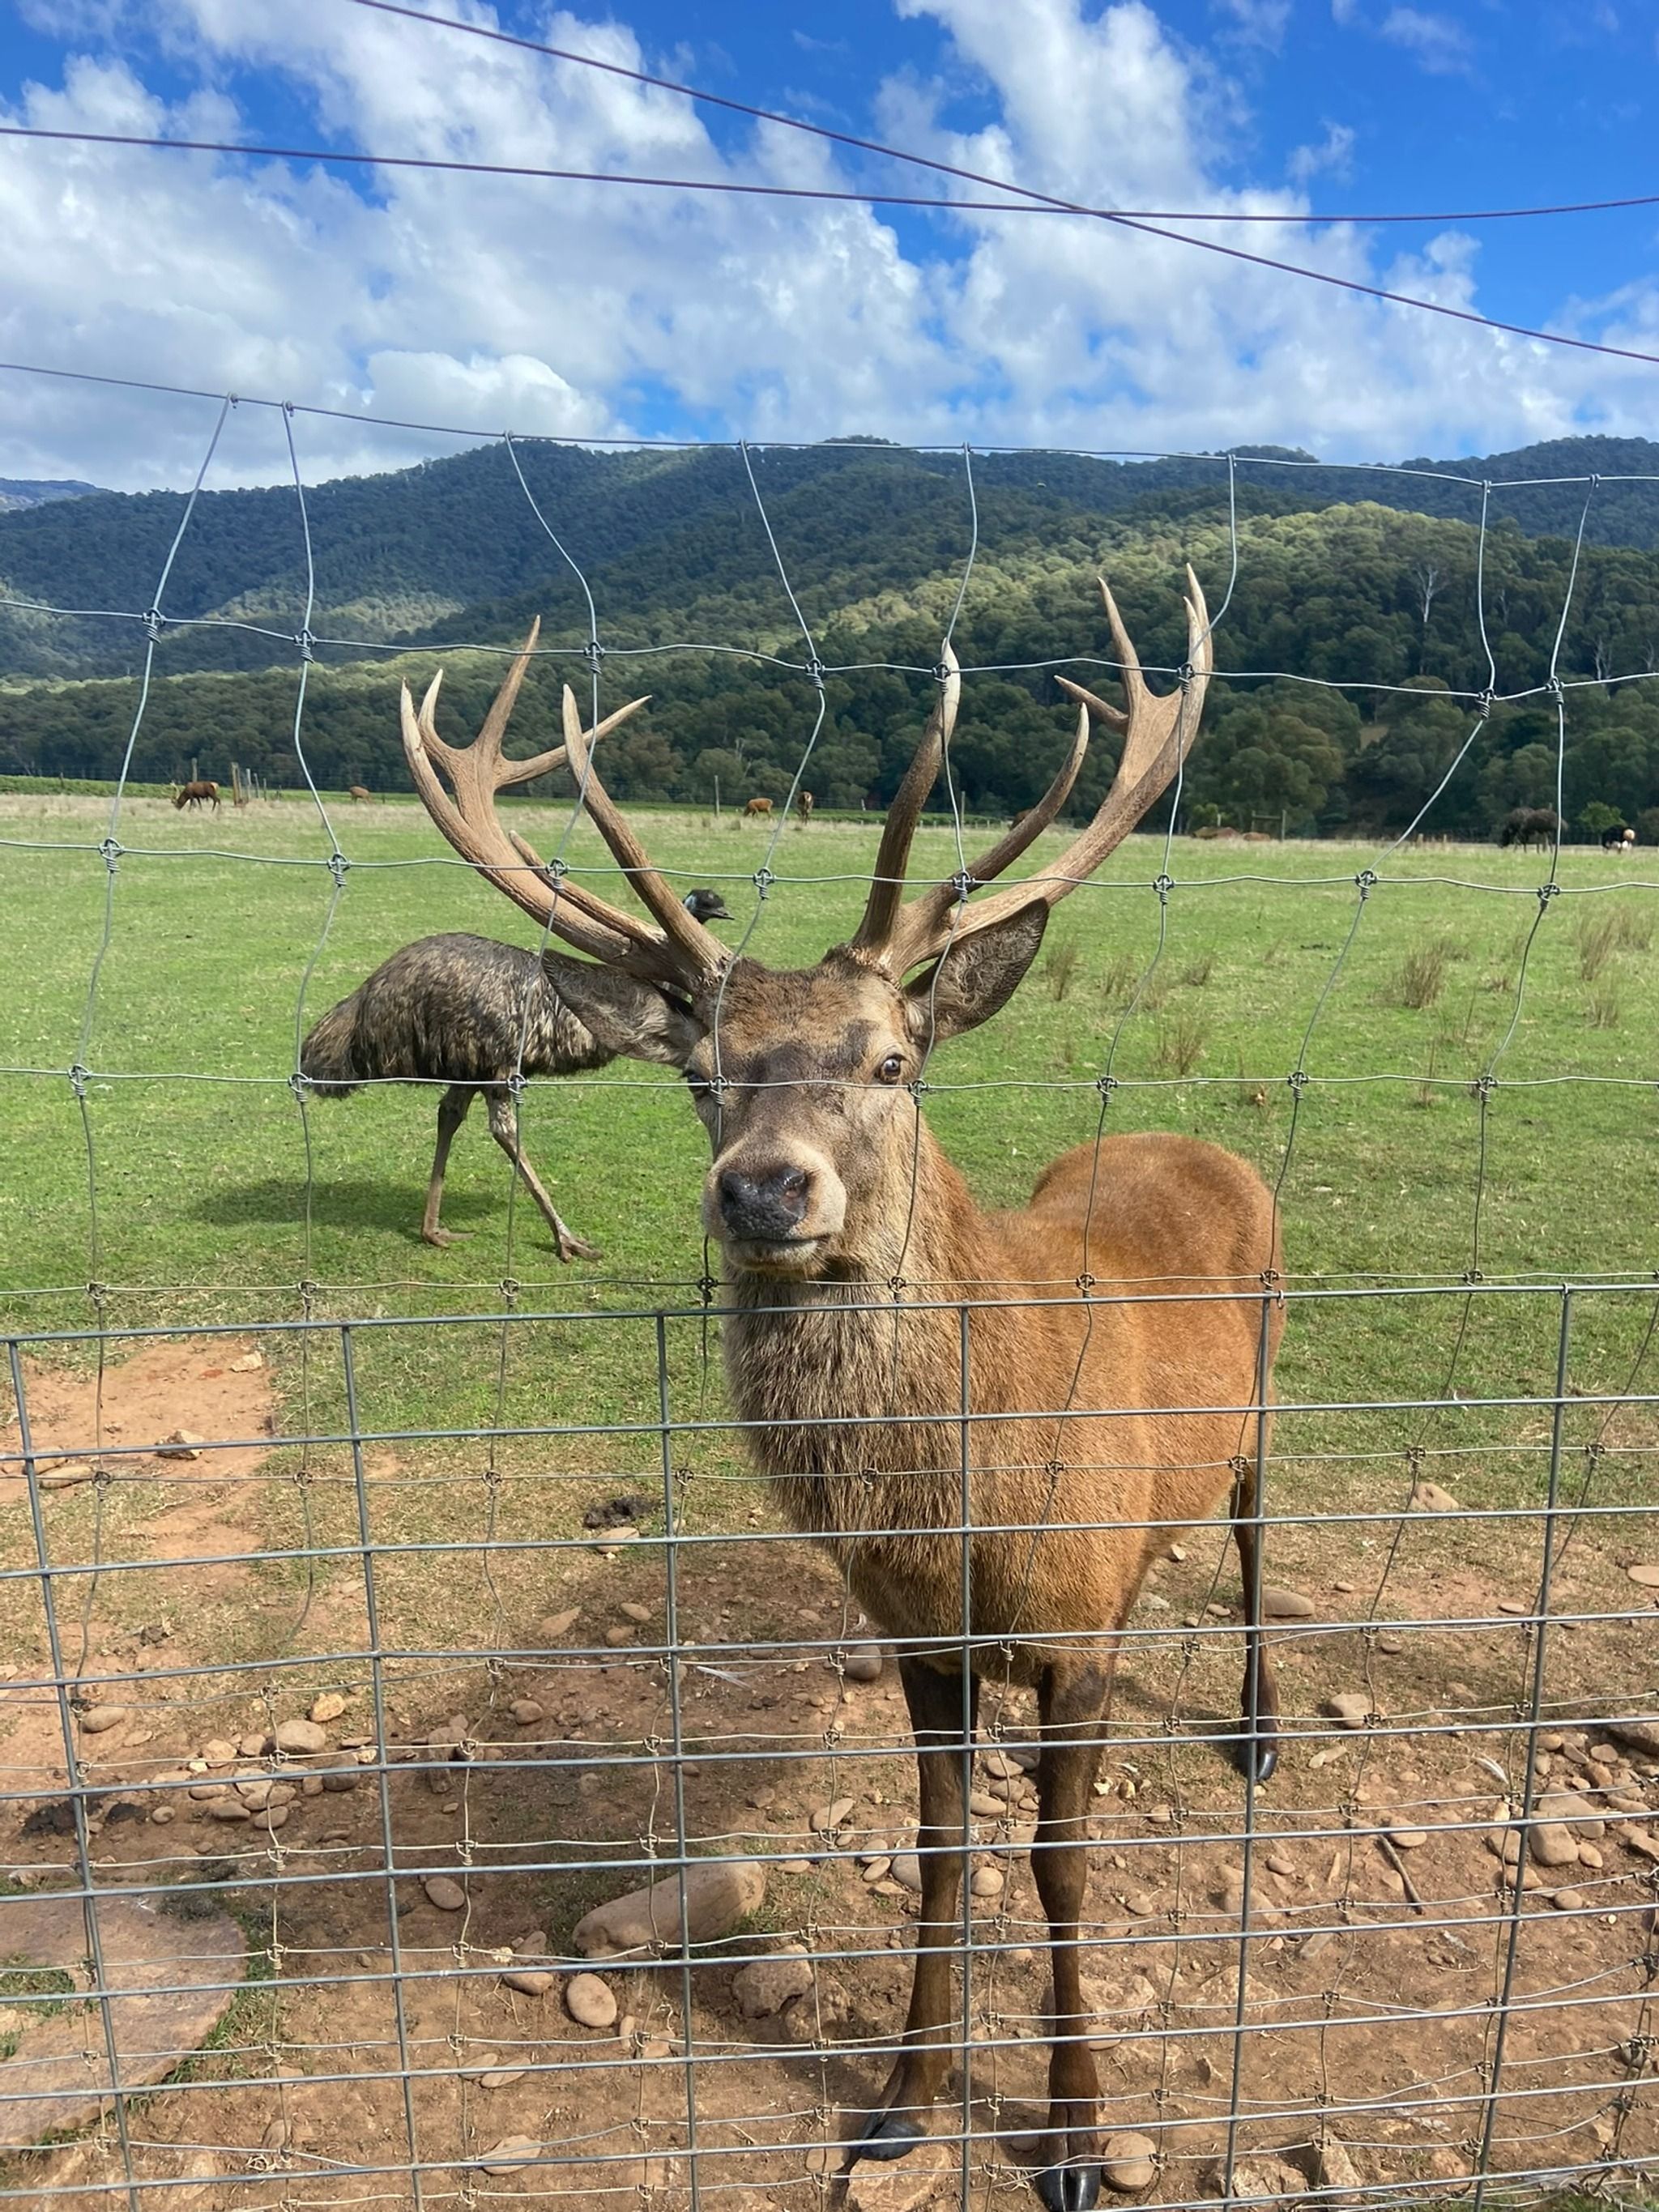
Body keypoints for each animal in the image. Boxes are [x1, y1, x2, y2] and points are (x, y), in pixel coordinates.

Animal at [400, 574, 1284, 2212]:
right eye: (703, 1072)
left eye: (890, 1059)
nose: (763, 1188)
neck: (968, 1517)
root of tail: (1200, 1137)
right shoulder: (920, 1631)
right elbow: (940, 1851)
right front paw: (900, 2103)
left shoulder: (1076, 1627)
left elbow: (1062, 1865)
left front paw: (1073, 2137)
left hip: (1268, 1383)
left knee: (1258, 1534)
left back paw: (1256, 1727)